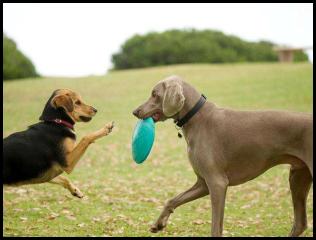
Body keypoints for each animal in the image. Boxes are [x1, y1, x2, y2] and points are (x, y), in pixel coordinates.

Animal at [132, 75, 312, 236]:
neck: (196, 117)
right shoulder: (203, 183)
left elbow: (215, 227)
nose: (135, 111)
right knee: (300, 223)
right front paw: (158, 224)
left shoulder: (217, 183)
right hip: (297, 176)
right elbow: (173, 199)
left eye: (154, 94)